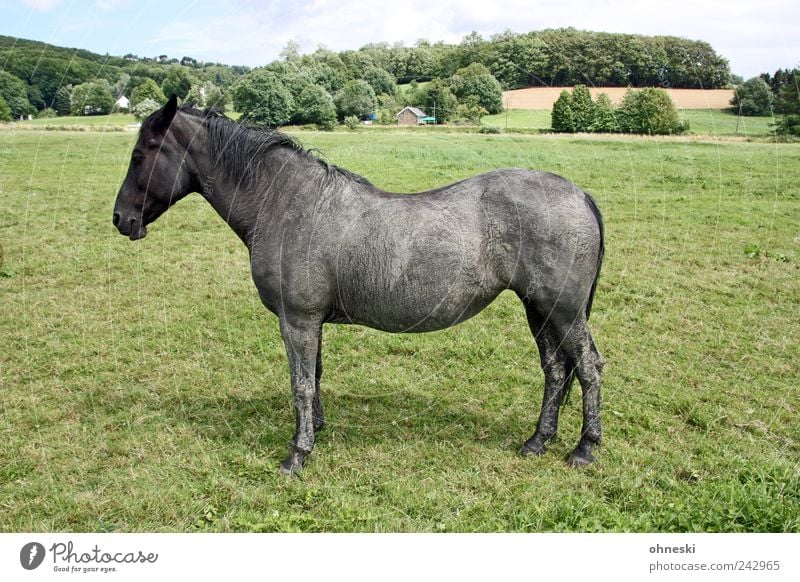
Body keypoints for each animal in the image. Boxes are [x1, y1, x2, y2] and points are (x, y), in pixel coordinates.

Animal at [109, 96, 604, 476]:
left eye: (140, 154)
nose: (120, 219)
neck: (287, 202)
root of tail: (579, 194)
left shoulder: (297, 321)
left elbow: (300, 383)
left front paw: (297, 454)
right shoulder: (310, 322)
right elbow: (314, 377)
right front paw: (317, 430)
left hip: (563, 311)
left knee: (588, 367)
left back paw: (584, 448)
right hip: (539, 309)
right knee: (556, 370)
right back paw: (537, 441)